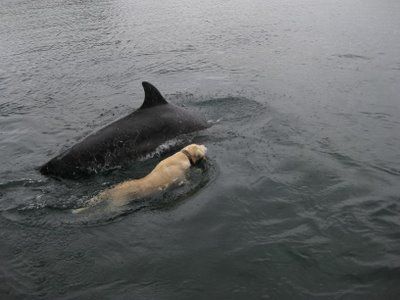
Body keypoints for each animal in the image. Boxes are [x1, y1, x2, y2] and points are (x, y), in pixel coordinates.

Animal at [73, 144, 208, 212]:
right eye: (200, 146)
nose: (205, 146)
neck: (182, 156)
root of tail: (111, 191)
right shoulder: (179, 176)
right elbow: (184, 180)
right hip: (120, 200)